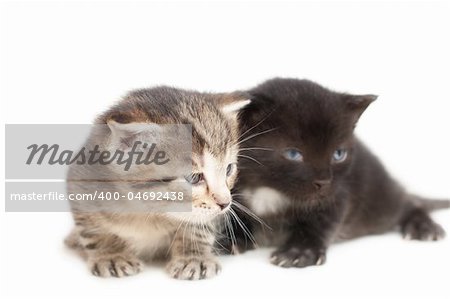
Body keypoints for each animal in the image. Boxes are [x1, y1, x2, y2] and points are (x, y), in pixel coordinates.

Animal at [64, 86, 250, 282]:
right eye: (194, 178)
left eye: (229, 169)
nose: (225, 203)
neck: (150, 211)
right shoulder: (81, 184)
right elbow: (94, 229)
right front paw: (112, 255)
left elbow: (200, 225)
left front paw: (193, 257)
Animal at [223, 78, 448, 268]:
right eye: (293, 154)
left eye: (338, 154)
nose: (324, 181)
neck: (269, 189)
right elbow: (236, 217)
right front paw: (233, 240)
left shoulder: (338, 193)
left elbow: (321, 222)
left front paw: (300, 251)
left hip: (379, 201)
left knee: (408, 202)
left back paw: (423, 227)